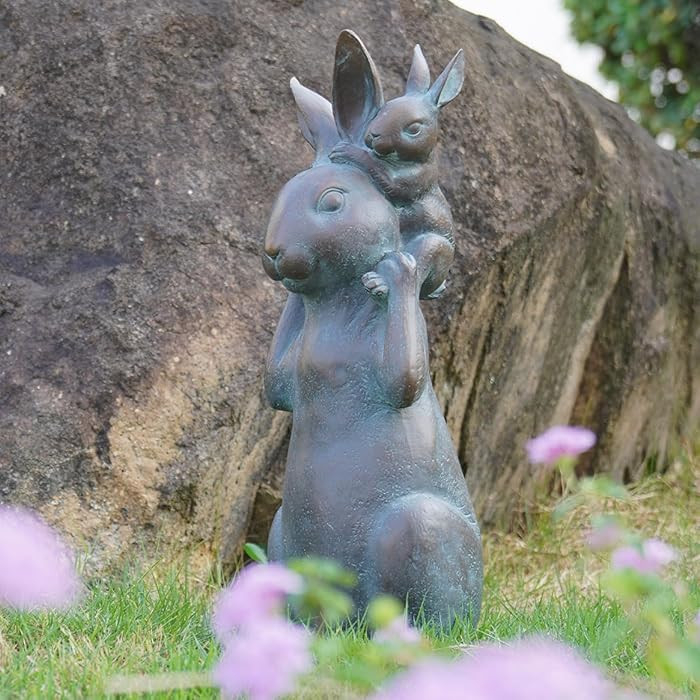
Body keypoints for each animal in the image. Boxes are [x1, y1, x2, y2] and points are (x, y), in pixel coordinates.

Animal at [329, 35, 465, 300]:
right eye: (382, 111)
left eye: (414, 128)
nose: (373, 135)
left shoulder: (415, 178)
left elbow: (385, 178)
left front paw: (345, 152)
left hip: (434, 248)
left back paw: (378, 283)